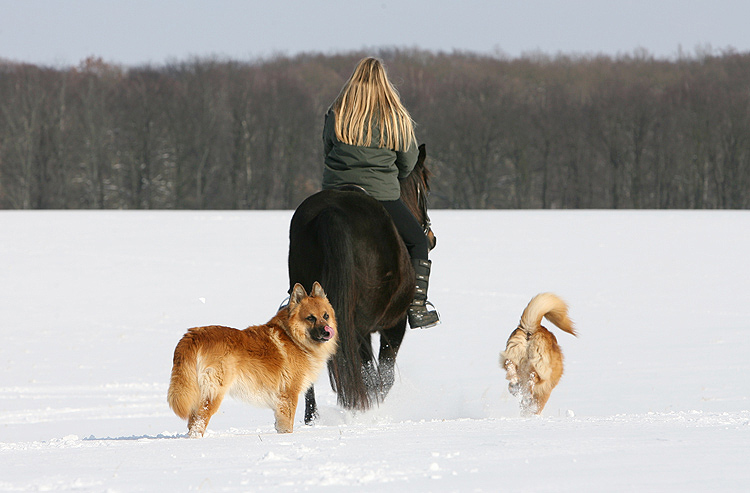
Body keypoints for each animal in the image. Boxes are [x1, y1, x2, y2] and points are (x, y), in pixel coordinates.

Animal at [169, 280, 340, 434]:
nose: (327, 331)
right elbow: (287, 427)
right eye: (311, 318)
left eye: (325, 316)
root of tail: (193, 335)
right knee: (198, 425)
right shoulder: (288, 396)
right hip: (213, 393)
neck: (294, 338)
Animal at [290, 143, 438, 422]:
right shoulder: (394, 324)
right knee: (366, 372)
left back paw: (312, 418)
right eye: (425, 186)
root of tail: (331, 213)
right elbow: (384, 376)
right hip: (363, 324)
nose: (431, 238)